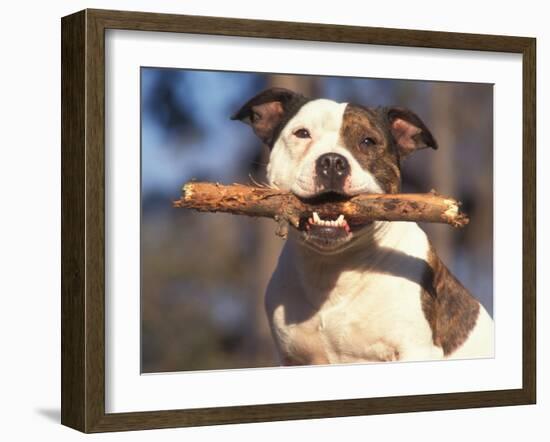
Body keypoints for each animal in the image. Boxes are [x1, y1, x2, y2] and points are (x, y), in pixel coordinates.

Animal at [233, 87, 496, 366]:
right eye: (302, 133)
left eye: (368, 141)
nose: (332, 162)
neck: (333, 267)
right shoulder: (292, 358)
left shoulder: (416, 349)